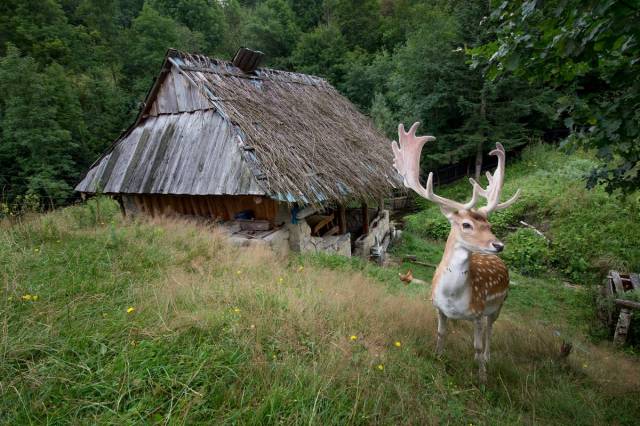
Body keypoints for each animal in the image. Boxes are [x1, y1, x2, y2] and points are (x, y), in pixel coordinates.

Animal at [390, 121, 520, 384]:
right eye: (466, 225)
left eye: (489, 224)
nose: (498, 245)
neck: (452, 297)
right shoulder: (438, 307)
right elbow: (441, 334)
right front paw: (438, 358)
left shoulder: (478, 313)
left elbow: (477, 347)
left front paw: (482, 379)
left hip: (500, 304)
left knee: (491, 329)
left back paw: (488, 358)